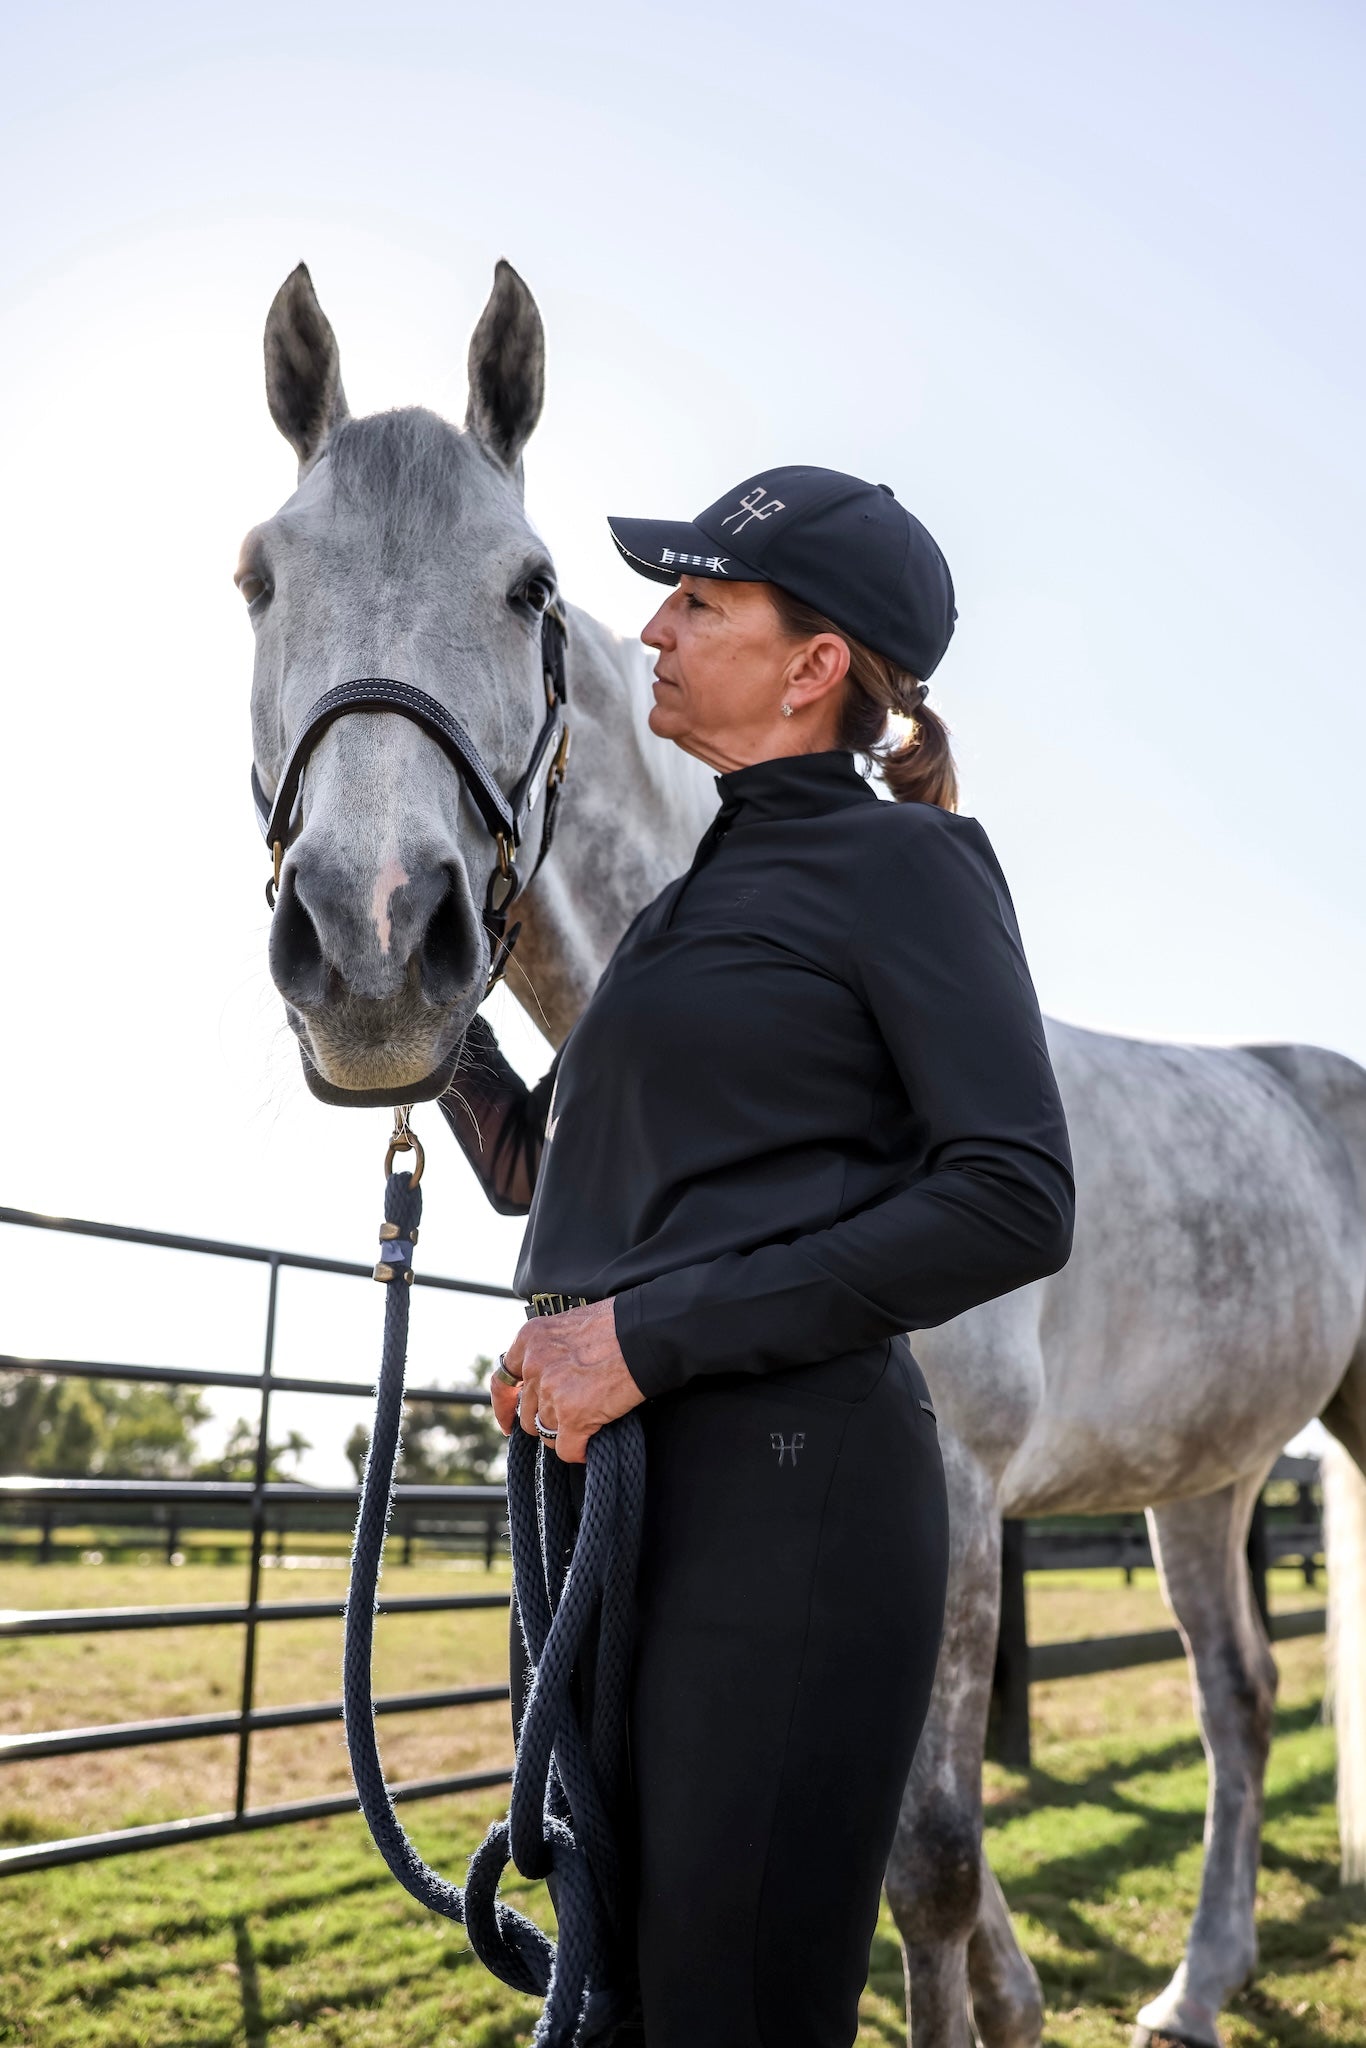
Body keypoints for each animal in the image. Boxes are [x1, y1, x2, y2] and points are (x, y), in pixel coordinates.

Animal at [239, 257, 1366, 2048]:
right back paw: (1196, 1986)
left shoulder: (962, 1512)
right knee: (1239, 1699)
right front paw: (1025, 1999)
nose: (371, 942)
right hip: (1204, 1483)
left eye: (528, 587)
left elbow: (932, 1862)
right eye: (259, 578)